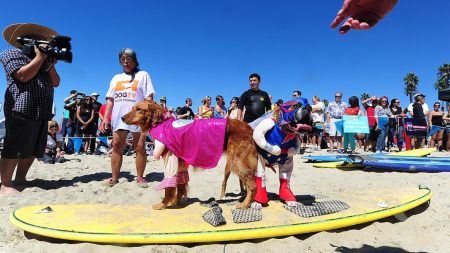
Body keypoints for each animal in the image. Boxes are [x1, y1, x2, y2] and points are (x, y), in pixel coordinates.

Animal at [121, 101, 256, 210]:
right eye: (133, 108)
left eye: (139, 109)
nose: (122, 117)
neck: (162, 123)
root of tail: (248, 127)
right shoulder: (180, 164)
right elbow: (180, 185)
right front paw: (176, 202)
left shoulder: (171, 161)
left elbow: (169, 188)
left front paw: (163, 204)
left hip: (238, 162)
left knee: (253, 186)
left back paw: (245, 204)